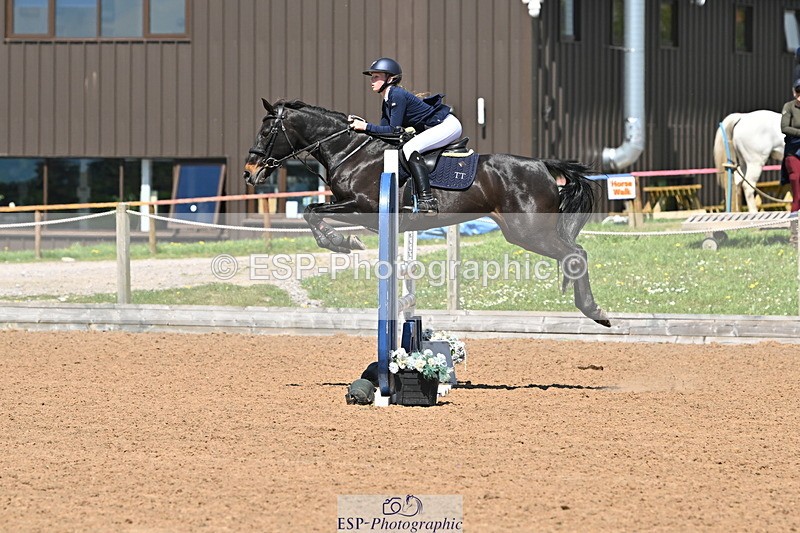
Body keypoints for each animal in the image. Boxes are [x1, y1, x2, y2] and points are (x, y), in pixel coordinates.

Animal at [243, 99, 610, 327]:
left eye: (267, 132)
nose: (250, 173)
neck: (350, 151)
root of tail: (544, 165)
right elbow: (312, 211)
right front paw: (341, 242)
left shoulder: (364, 207)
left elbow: (312, 211)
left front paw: (342, 242)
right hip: (529, 230)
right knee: (574, 253)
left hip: (530, 231)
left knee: (576, 253)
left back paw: (595, 311)